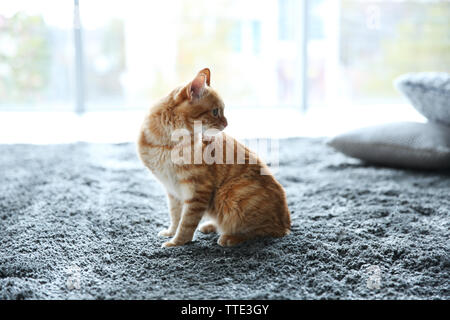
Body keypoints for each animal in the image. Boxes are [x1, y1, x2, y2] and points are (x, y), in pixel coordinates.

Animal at [138, 68, 292, 248]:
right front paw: (171, 232)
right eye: (215, 111)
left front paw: (177, 242)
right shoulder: (172, 190)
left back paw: (230, 237)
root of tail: (286, 223)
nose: (226, 123)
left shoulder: (198, 189)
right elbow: (176, 216)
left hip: (230, 194)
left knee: (265, 231)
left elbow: (187, 222)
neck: (168, 145)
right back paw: (211, 226)